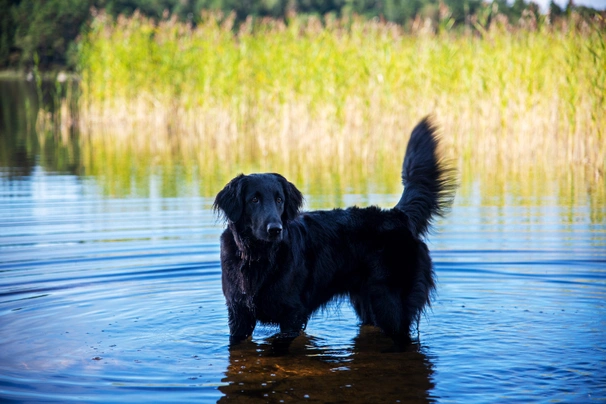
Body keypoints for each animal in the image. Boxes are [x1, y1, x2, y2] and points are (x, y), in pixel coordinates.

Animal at [214, 117, 456, 348]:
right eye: (254, 199)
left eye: (279, 200)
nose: (275, 229)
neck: (258, 256)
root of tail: (399, 215)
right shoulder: (238, 314)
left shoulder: (292, 315)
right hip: (368, 303)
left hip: (391, 306)